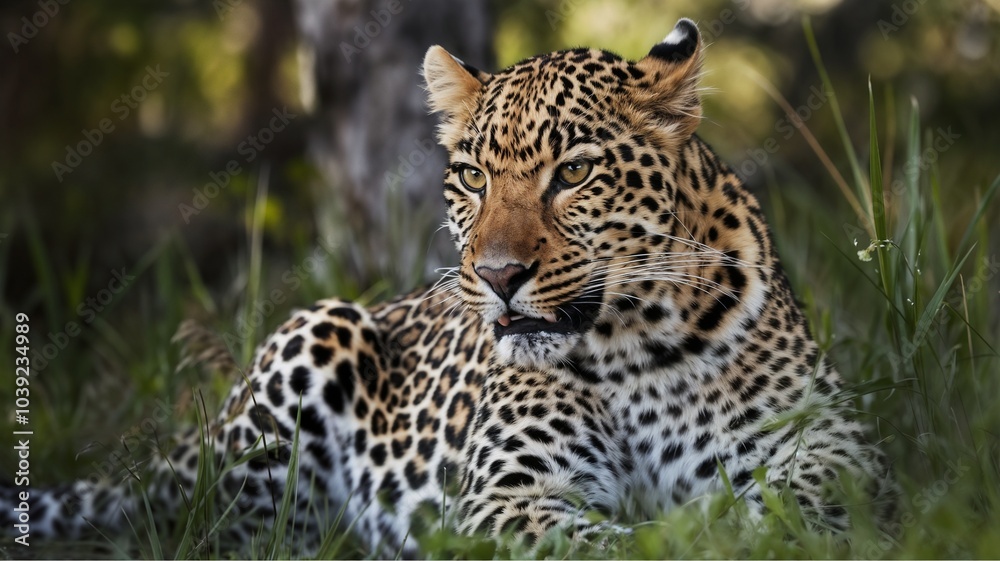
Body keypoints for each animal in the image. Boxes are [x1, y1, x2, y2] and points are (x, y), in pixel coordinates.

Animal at [2, 18, 895, 557]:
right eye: (472, 177)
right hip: (313, 338)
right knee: (228, 533)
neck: (637, 340)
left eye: (574, 172)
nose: (498, 276)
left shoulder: (832, 436)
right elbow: (605, 540)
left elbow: (814, 490)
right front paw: (693, 530)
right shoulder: (513, 491)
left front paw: (738, 523)